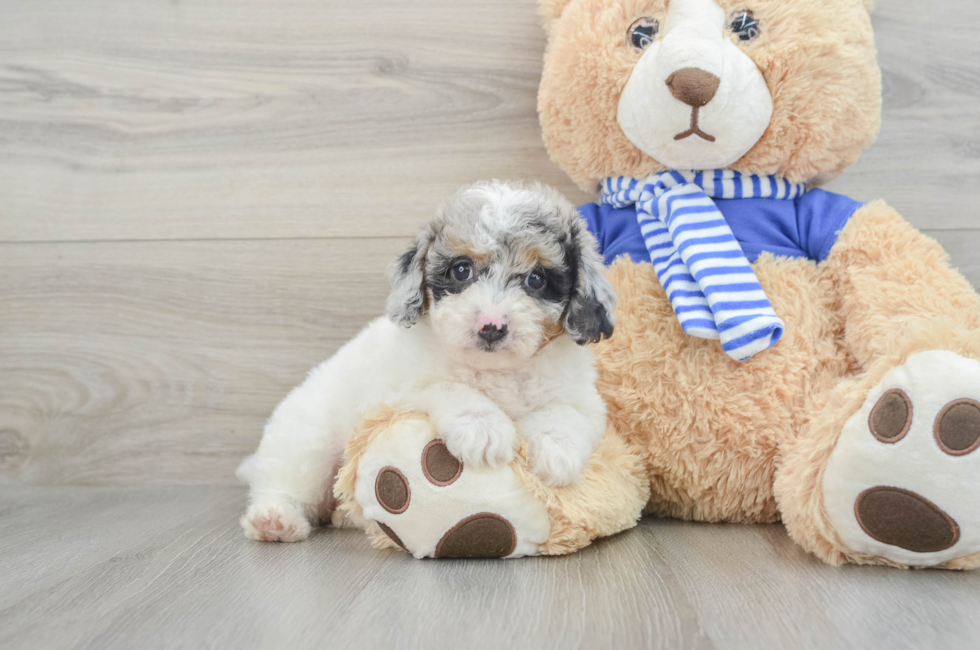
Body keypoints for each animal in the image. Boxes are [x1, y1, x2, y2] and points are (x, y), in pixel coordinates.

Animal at [237, 180, 616, 540]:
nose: (492, 326)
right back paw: (275, 520)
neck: (495, 372)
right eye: (461, 270)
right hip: (305, 443)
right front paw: (484, 428)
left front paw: (556, 452)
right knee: (285, 484)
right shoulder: (395, 391)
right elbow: (446, 385)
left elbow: (565, 414)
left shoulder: (584, 400)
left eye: (536, 279)